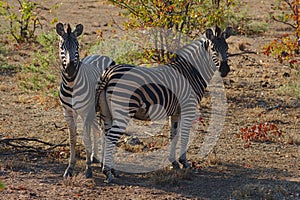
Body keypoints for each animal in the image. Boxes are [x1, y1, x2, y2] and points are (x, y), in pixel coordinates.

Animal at [55, 23, 115, 178]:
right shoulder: (68, 112)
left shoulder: (85, 111)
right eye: (62, 46)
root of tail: (101, 55)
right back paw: (95, 157)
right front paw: (70, 168)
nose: (70, 68)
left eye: (77, 46)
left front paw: (88, 169)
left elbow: (86, 138)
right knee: (97, 129)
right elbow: (72, 139)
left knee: (106, 132)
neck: (71, 85)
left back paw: (105, 164)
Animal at [96, 25, 232, 183]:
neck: (192, 72)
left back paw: (111, 169)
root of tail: (108, 73)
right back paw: (108, 172)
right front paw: (185, 162)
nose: (224, 70)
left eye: (227, 48)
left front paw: (174, 162)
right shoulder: (188, 107)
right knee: (111, 138)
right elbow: (185, 136)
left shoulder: (176, 112)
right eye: (213, 49)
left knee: (105, 136)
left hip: (106, 113)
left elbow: (174, 135)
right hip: (122, 111)